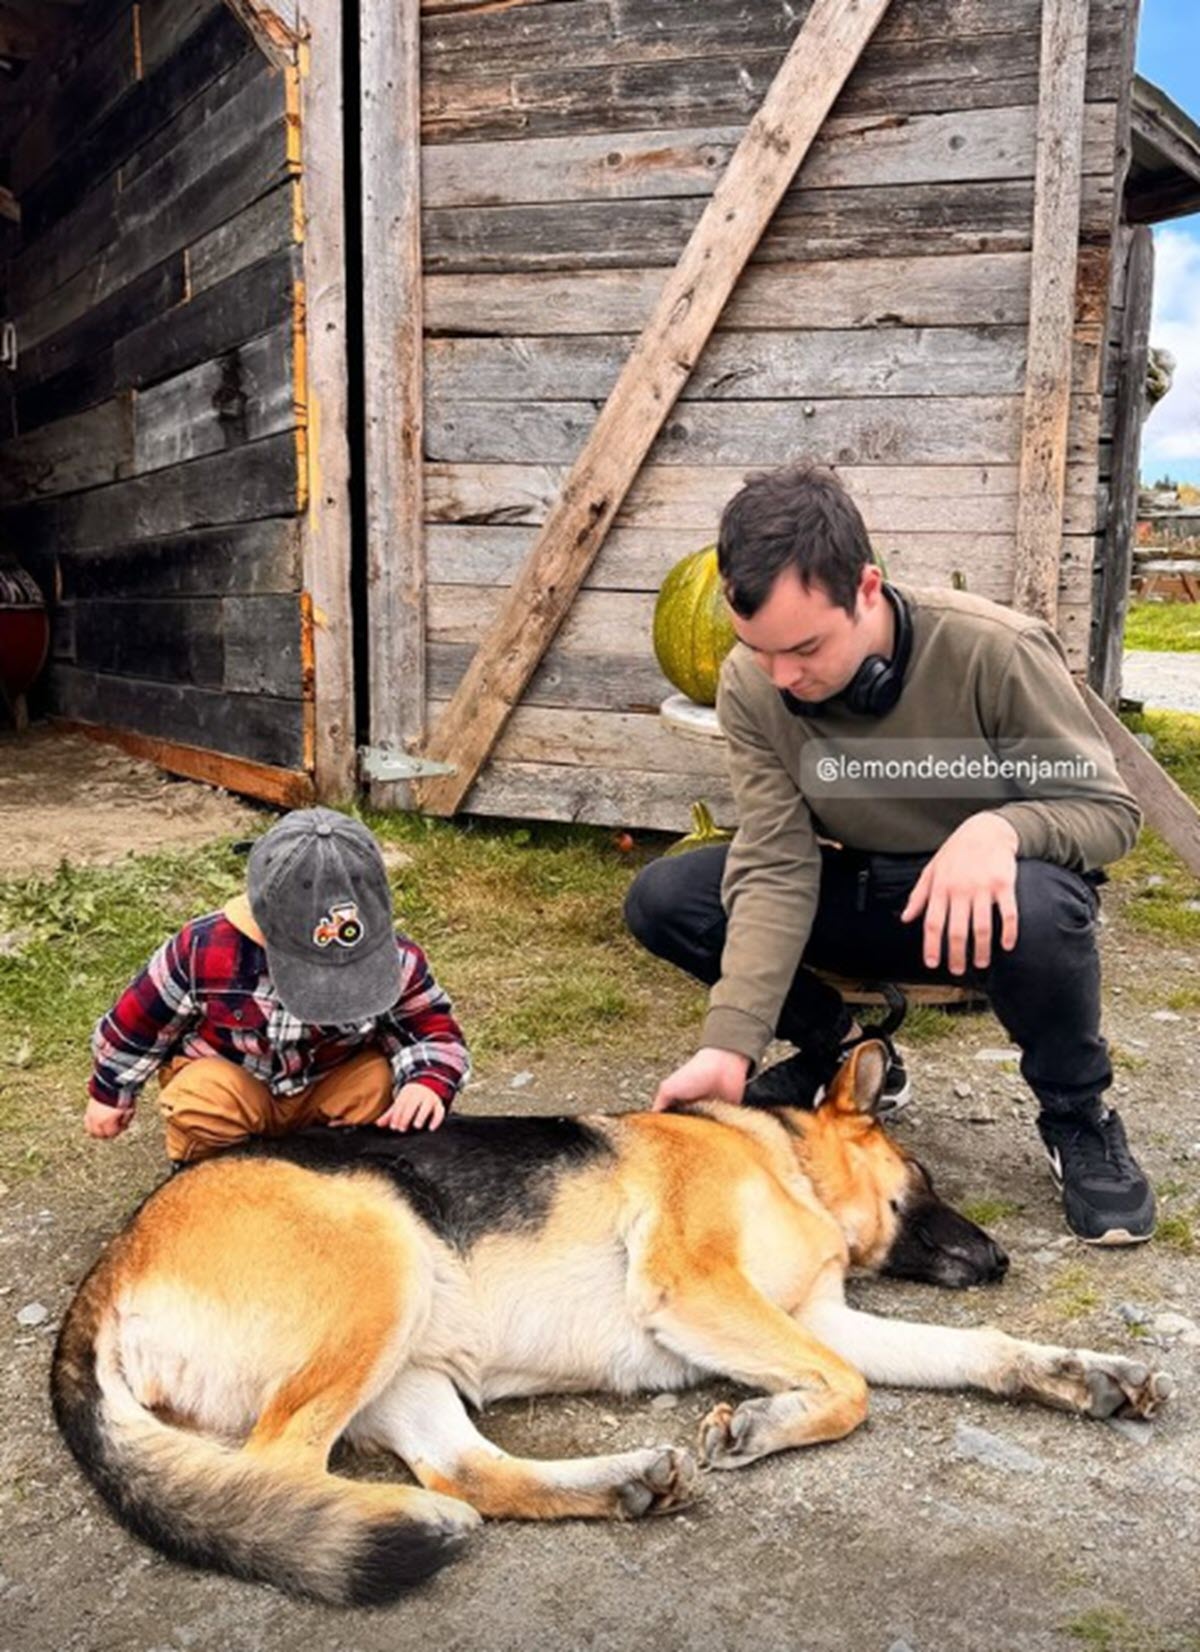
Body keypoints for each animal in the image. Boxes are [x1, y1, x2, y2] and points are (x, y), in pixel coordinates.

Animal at [54, 1050, 1176, 1605]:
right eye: (927, 1178)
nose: (1003, 1261)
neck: (779, 1158)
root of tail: (111, 1266)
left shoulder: (818, 1318)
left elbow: (971, 1355)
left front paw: (1086, 1373)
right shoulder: (700, 1287)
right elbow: (848, 1392)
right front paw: (760, 1423)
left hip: (409, 1358)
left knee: (468, 1472)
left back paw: (620, 1483)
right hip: (384, 1268)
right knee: (282, 1465)